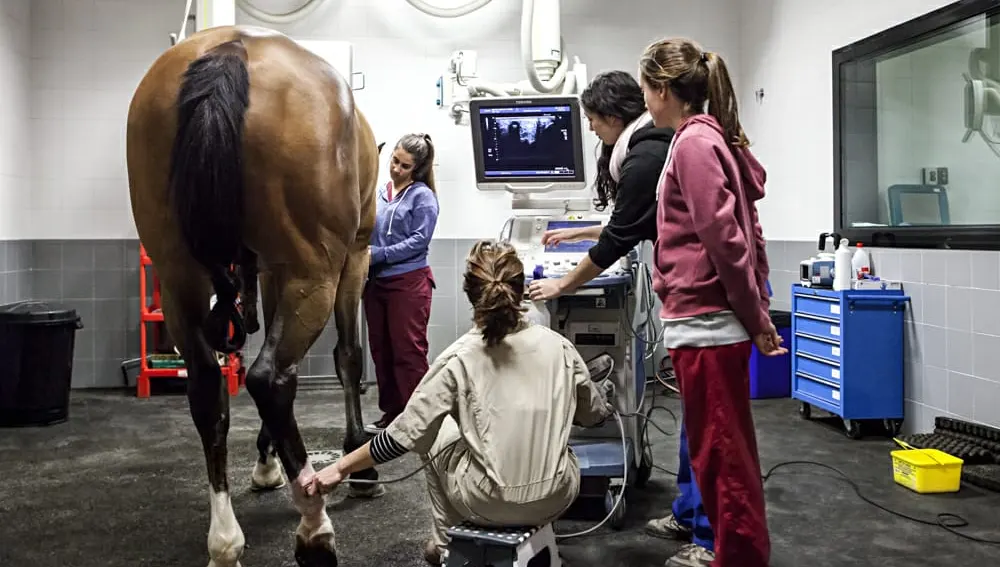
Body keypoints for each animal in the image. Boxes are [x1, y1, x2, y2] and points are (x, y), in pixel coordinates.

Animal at [126, 24, 382, 564]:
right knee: (270, 377)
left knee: (208, 388)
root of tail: (232, 48)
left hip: (179, 275)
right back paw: (313, 523)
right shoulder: (354, 256)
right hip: (315, 271)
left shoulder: (267, 268)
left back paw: (225, 539)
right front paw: (362, 467)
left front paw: (266, 461)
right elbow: (349, 356)